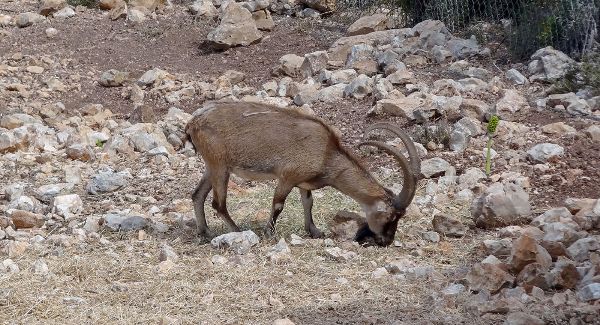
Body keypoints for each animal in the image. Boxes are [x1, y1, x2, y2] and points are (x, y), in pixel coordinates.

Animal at [185, 101, 420, 246]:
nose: (386, 241)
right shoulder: (287, 177)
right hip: (220, 166)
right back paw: (237, 231)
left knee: (198, 195)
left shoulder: (303, 183)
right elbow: (278, 205)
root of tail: (192, 123)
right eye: (391, 215)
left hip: (212, 167)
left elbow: (308, 203)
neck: (326, 153)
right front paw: (269, 233)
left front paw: (314, 231)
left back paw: (204, 232)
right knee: (218, 203)